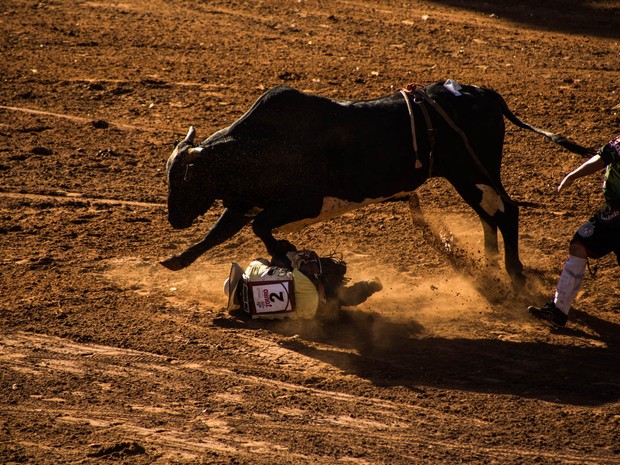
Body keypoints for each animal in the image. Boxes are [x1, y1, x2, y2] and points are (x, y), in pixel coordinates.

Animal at [161, 82, 592, 282]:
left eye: (183, 179)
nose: (174, 220)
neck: (259, 144)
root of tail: (481, 92)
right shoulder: (245, 202)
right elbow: (218, 233)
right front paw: (177, 260)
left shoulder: (305, 201)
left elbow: (261, 227)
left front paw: (285, 252)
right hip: (466, 177)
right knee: (492, 216)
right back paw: (489, 267)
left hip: (476, 171)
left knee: (508, 211)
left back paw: (514, 274)